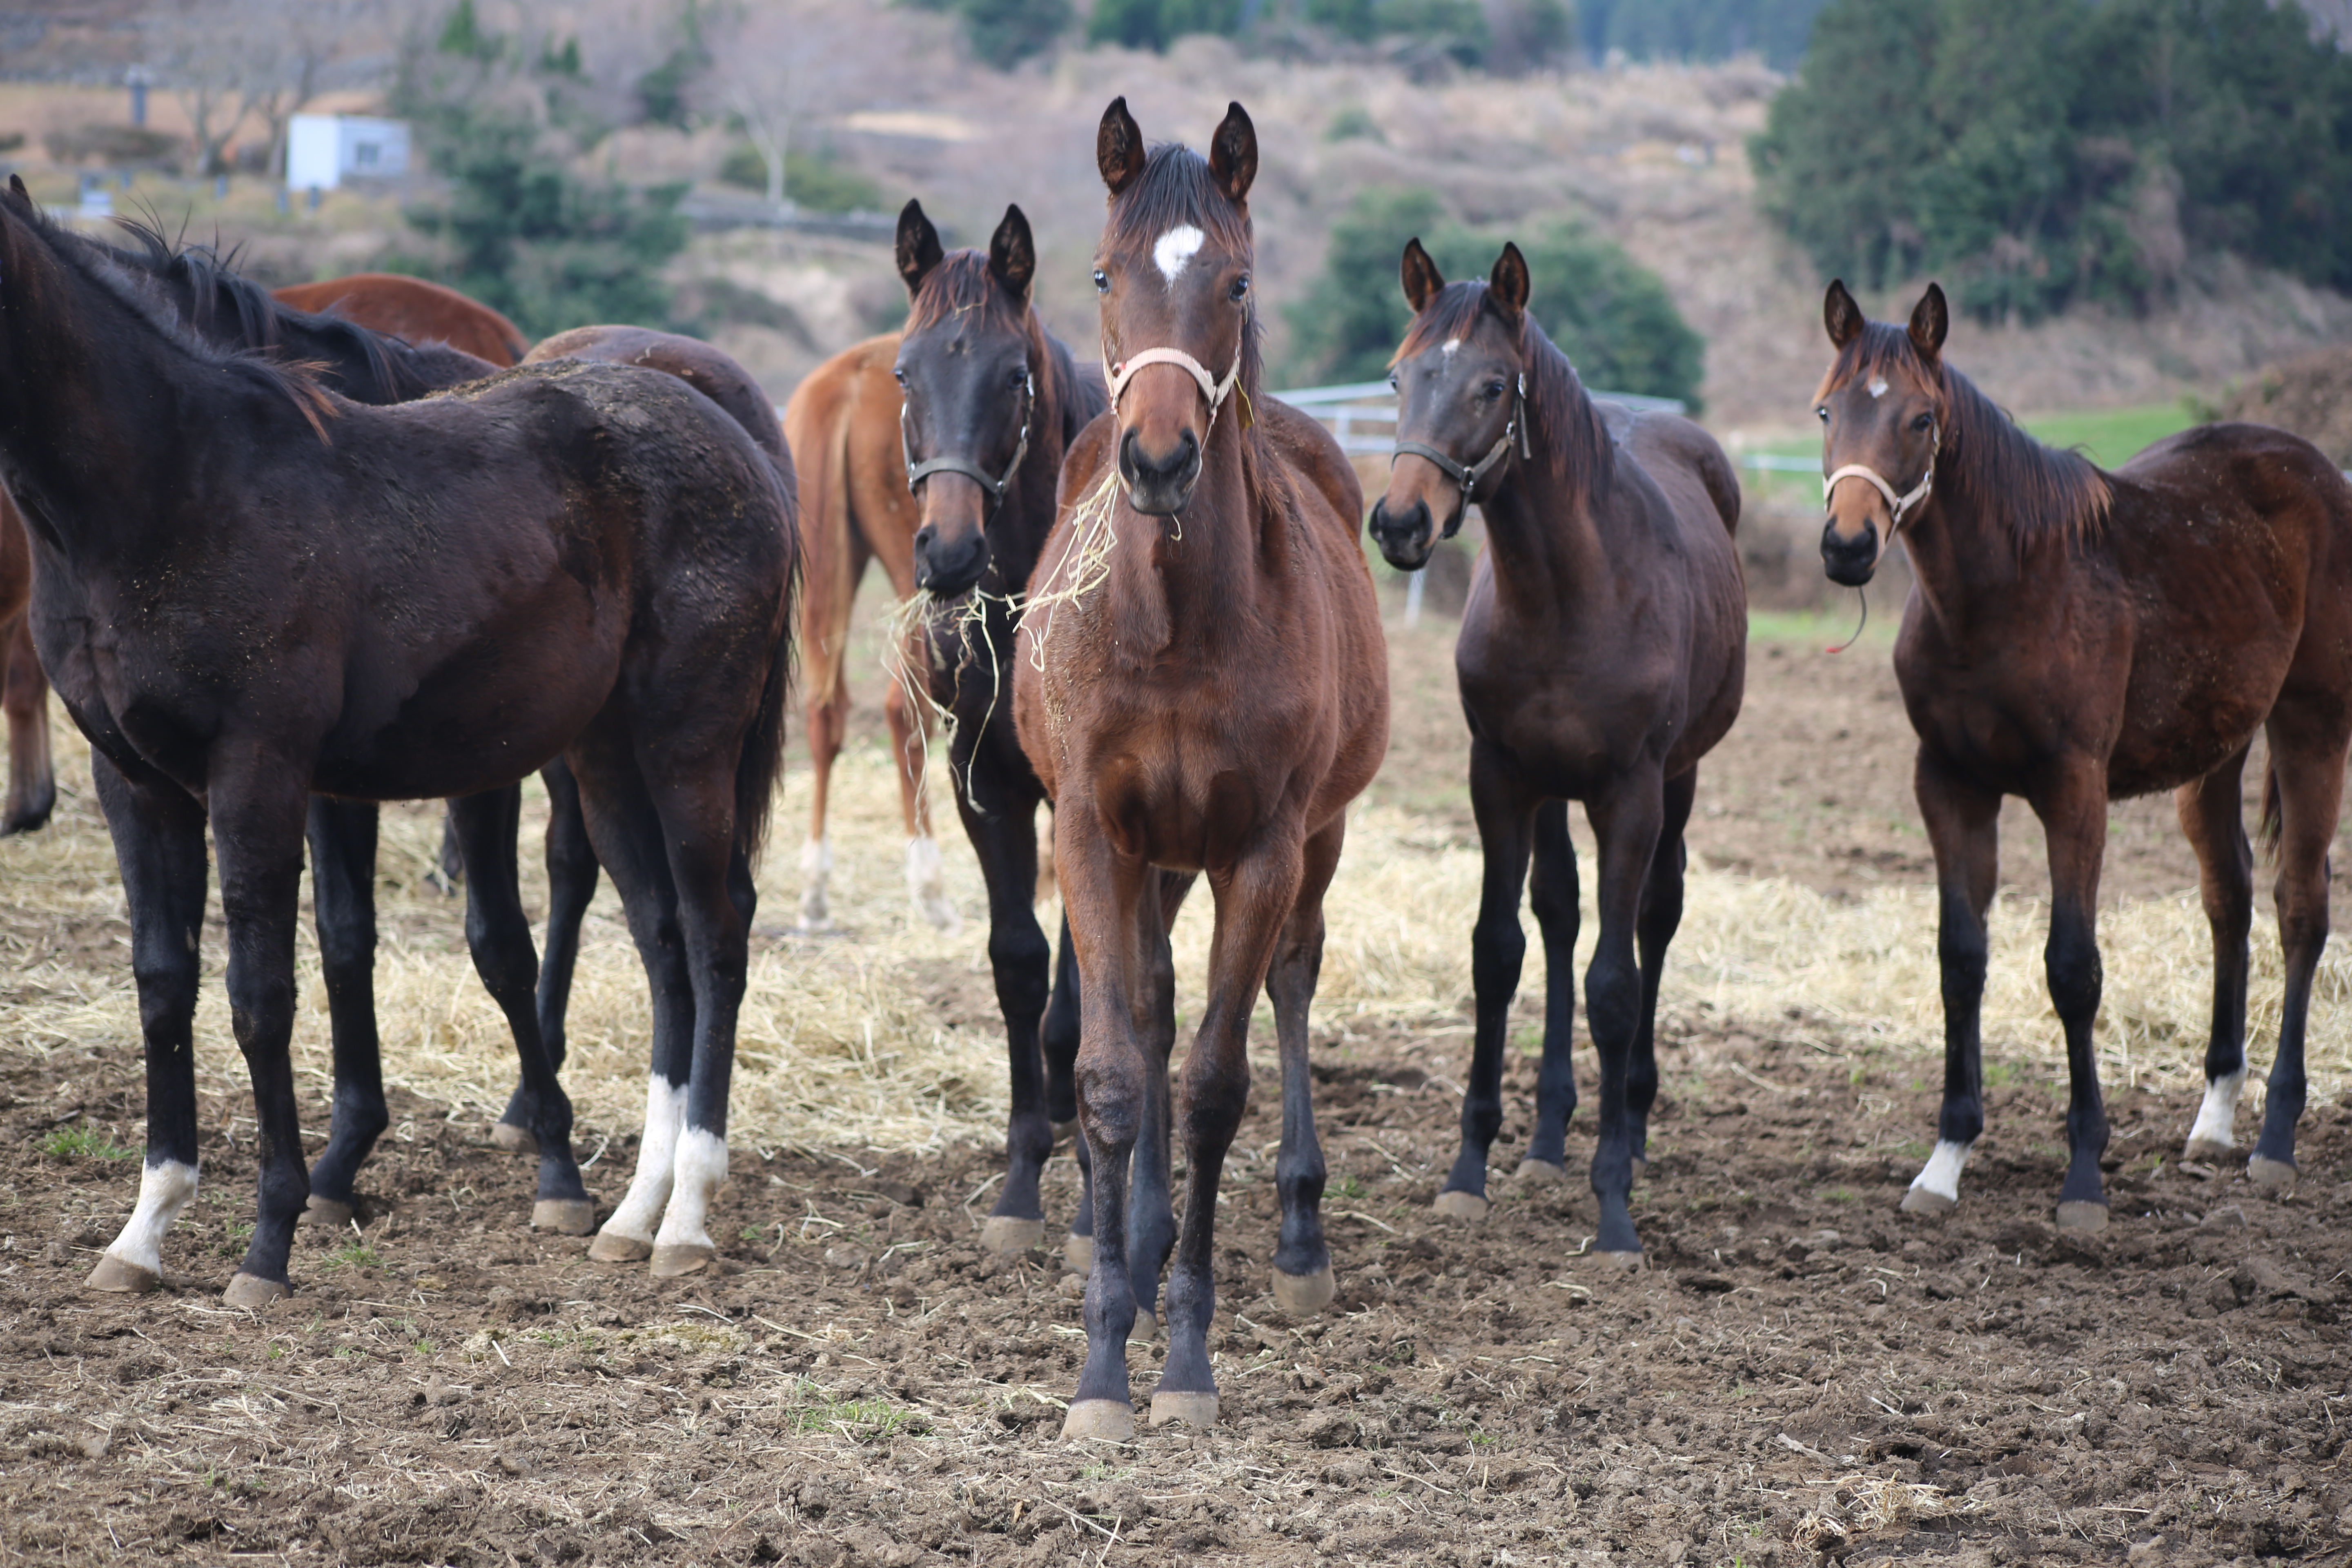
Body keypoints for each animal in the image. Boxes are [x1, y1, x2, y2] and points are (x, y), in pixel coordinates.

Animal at [0, 181, 800, 1316]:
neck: (169, 489)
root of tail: (734, 436)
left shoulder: (260, 773)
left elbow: (261, 997)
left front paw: (270, 1239)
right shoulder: (136, 784)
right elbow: (163, 986)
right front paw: (144, 1230)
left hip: (688, 743)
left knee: (714, 933)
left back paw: (684, 1216)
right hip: (605, 760)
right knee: (661, 944)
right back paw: (633, 1212)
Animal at [1020, 98, 1383, 1439]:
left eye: (1234, 280)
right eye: (1101, 275)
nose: (1161, 461)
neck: (1173, 622)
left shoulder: (1262, 847)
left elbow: (1215, 1082)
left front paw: (1182, 1361)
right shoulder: (1090, 833)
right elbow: (1117, 1073)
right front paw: (1102, 1365)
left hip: (1309, 843)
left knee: (1287, 980)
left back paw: (1293, 1240)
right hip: (1149, 858)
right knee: (1148, 1006)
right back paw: (1136, 1235)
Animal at [1364, 236, 1750, 1260]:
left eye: (1494, 386)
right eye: (1398, 376)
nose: (1400, 524)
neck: (1570, 596)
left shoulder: (1631, 792)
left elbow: (1614, 983)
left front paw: (1614, 1208)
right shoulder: (1500, 777)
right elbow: (1499, 951)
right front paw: (1470, 1171)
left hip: (1679, 780)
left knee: (1654, 918)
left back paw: (1635, 1124)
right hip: (1549, 792)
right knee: (1561, 916)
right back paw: (1545, 1140)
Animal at [1815, 282, 2352, 1222]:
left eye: (1921, 418)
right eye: (1825, 410)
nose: (1847, 547)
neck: (2005, 592)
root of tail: (2320, 469)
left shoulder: (2074, 791)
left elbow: (2072, 969)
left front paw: (2083, 1178)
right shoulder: (1949, 784)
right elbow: (1961, 959)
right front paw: (1945, 1161)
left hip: (2314, 722)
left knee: (2300, 907)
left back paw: (2276, 1139)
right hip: (2216, 750)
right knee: (2230, 897)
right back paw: (2215, 1118)